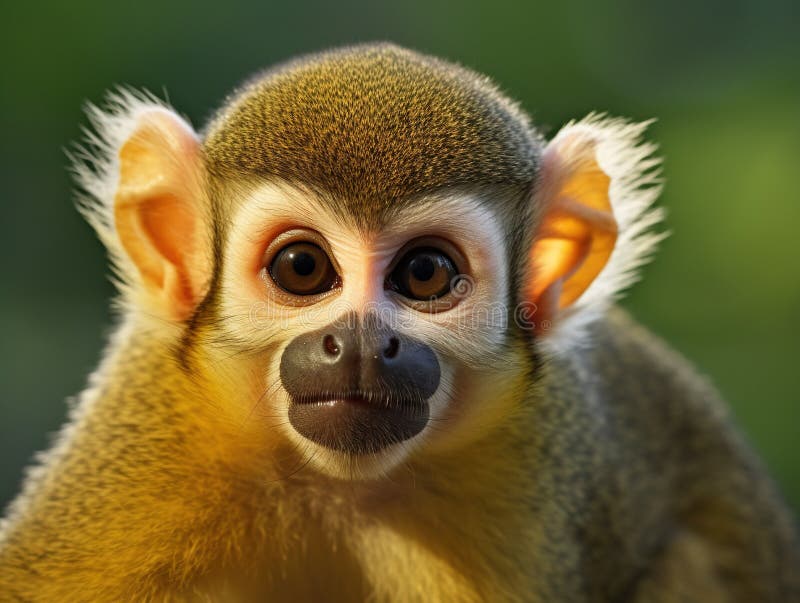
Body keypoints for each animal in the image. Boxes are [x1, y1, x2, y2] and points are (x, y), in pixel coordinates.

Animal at [0, 42, 798, 602]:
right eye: (302, 268)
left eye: (425, 274)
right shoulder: (154, 422)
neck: (336, 485)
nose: (359, 343)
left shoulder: (536, 466)